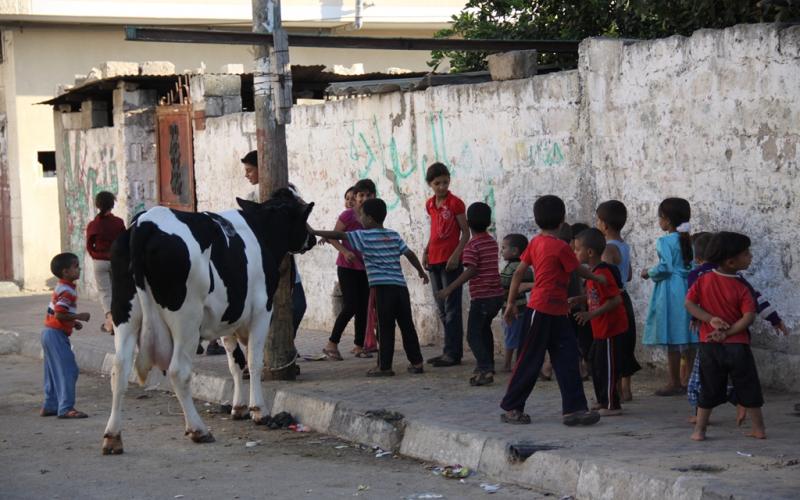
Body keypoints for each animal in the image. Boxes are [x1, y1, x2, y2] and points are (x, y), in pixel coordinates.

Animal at [100, 188, 312, 454]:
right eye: (302, 215)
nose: (312, 238)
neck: (261, 229)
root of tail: (145, 223)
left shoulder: (228, 316)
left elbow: (235, 363)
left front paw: (238, 408)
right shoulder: (263, 310)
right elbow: (253, 361)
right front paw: (259, 410)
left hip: (125, 314)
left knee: (119, 370)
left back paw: (113, 437)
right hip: (187, 319)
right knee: (178, 371)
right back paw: (198, 430)